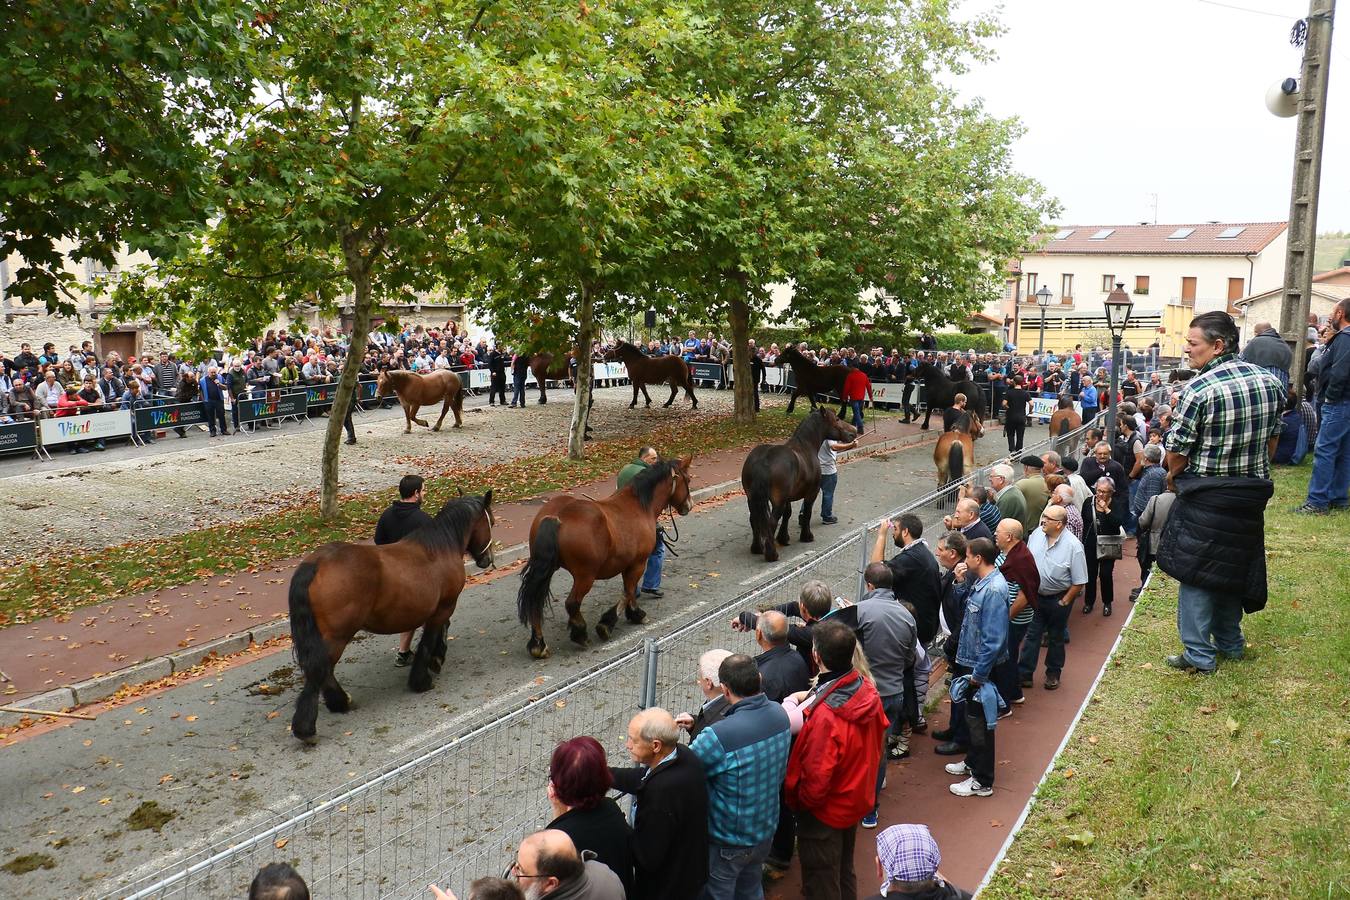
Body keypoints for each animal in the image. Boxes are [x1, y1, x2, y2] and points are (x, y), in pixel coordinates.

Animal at [288, 488, 496, 744]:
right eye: (491, 521)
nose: (488, 559)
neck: (440, 548)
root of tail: (316, 563)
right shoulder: (444, 607)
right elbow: (431, 638)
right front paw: (424, 676)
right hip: (337, 635)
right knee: (321, 668)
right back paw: (312, 722)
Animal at [515, 461, 696, 658]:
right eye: (687, 479)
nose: (689, 505)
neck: (638, 506)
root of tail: (557, 516)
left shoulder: (628, 564)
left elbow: (629, 591)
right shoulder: (638, 563)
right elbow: (628, 591)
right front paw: (616, 621)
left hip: (547, 570)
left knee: (535, 603)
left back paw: (538, 644)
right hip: (585, 576)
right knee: (572, 603)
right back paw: (580, 633)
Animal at [739, 410, 853, 564]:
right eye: (836, 419)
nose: (853, 432)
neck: (806, 446)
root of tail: (763, 460)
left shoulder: (787, 497)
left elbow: (787, 514)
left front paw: (783, 538)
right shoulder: (812, 493)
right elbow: (807, 514)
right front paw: (806, 536)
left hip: (752, 499)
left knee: (754, 519)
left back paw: (757, 548)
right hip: (777, 502)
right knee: (771, 522)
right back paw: (771, 554)